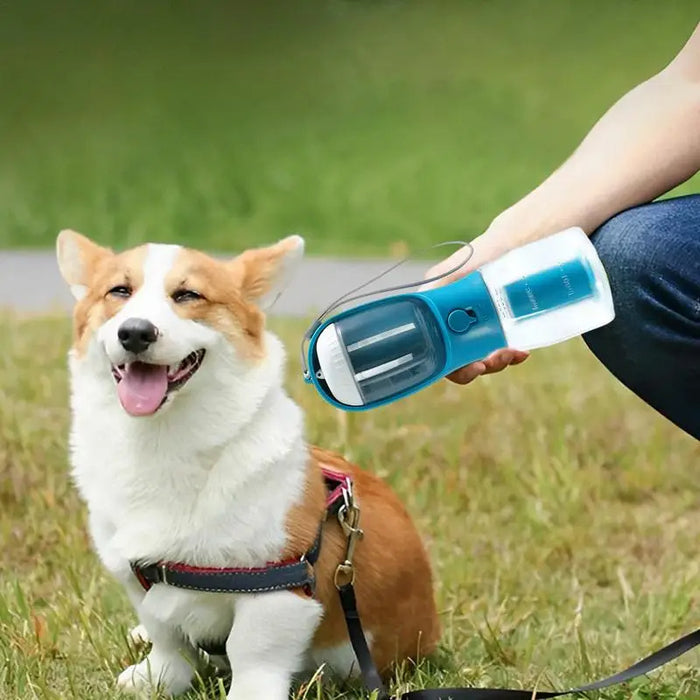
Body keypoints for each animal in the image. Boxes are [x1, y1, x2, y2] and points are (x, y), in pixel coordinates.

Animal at [56, 232, 438, 696]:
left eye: (188, 295)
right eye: (119, 291)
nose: (135, 333)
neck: (163, 441)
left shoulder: (278, 589)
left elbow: (252, 652)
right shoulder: (137, 579)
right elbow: (167, 637)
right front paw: (156, 678)